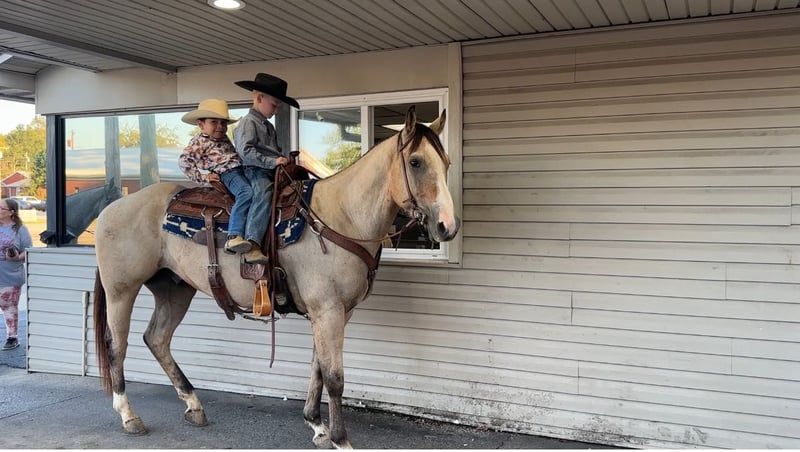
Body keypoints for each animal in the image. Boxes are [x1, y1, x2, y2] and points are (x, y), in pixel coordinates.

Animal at [92, 106, 460, 449]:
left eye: (445, 162)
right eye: (415, 162)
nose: (447, 226)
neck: (340, 218)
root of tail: (112, 208)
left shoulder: (335, 312)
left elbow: (317, 368)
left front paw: (317, 426)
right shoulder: (328, 310)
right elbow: (334, 376)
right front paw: (340, 438)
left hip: (174, 289)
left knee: (156, 339)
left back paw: (194, 405)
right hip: (122, 290)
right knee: (117, 344)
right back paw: (129, 415)